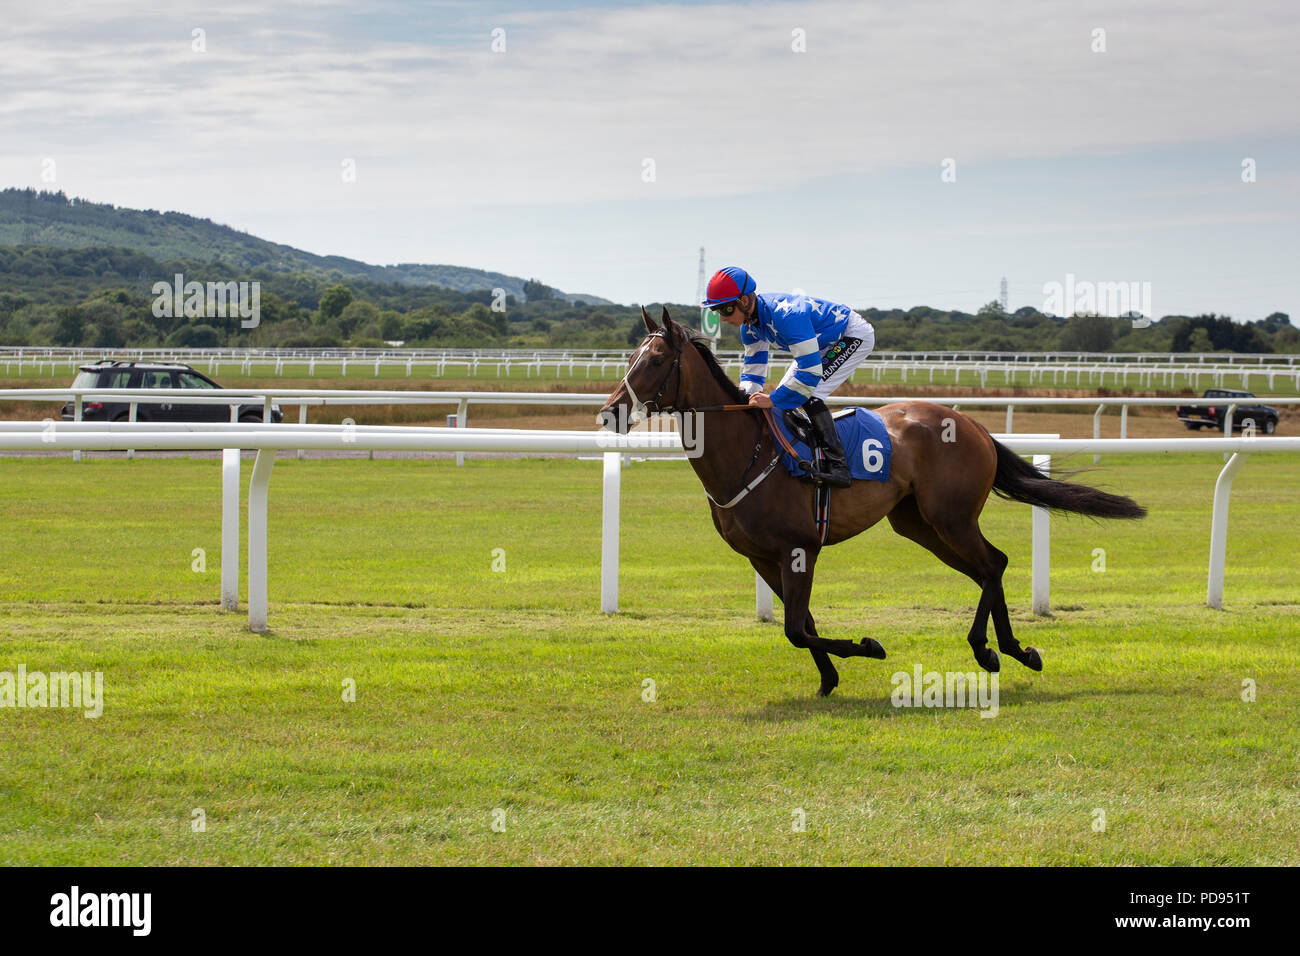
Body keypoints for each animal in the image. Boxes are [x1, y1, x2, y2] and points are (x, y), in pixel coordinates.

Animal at [598, 310, 1149, 697]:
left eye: (654, 361)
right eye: (628, 360)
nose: (608, 415)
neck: (748, 453)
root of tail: (972, 423)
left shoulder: (799, 549)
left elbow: (796, 628)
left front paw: (868, 646)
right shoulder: (761, 557)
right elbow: (803, 624)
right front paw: (829, 680)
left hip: (951, 517)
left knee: (994, 563)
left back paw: (993, 650)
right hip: (921, 525)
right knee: (987, 569)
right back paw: (1008, 651)